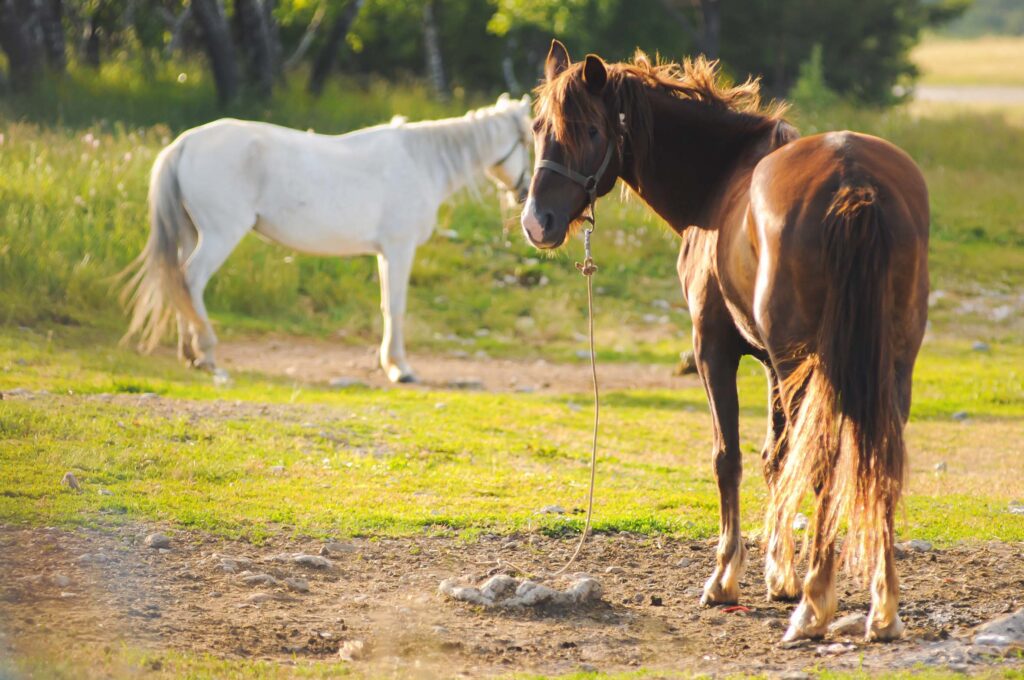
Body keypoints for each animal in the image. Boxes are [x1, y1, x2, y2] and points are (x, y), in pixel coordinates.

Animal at [123, 93, 532, 385]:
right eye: (530, 139)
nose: (528, 195)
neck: (422, 162)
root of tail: (184, 144)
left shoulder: (385, 253)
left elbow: (386, 304)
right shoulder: (399, 249)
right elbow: (395, 306)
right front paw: (400, 368)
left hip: (190, 233)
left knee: (178, 281)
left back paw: (189, 355)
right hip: (220, 234)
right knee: (191, 279)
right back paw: (206, 353)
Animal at [524, 39, 933, 639]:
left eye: (591, 132)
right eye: (538, 126)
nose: (539, 222)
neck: (717, 187)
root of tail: (854, 181)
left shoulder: (716, 351)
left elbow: (731, 458)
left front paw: (727, 579)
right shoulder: (767, 361)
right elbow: (775, 457)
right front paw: (779, 574)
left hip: (802, 365)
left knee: (824, 459)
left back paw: (817, 601)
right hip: (886, 365)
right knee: (875, 458)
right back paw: (882, 607)